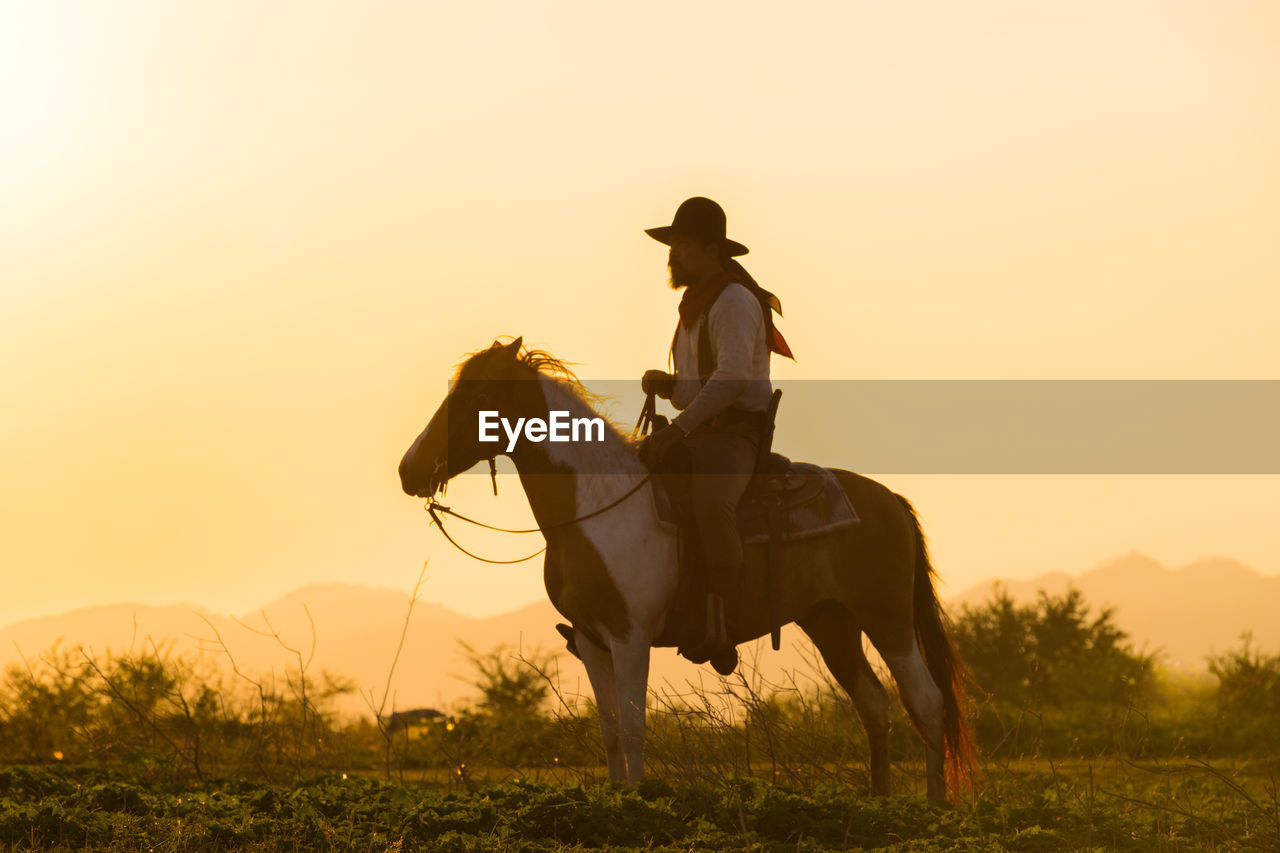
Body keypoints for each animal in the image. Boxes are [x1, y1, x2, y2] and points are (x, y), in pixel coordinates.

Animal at [399, 338, 977, 799]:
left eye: (475, 397)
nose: (409, 470)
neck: (597, 506)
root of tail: (888, 500)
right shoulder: (590, 639)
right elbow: (610, 731)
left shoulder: (631, 636)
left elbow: (634, 728)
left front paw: (637, 803)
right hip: (831, 622)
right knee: (875, 706)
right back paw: (880, 803)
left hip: (887, 617)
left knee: (926, 703)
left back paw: (934, 807)